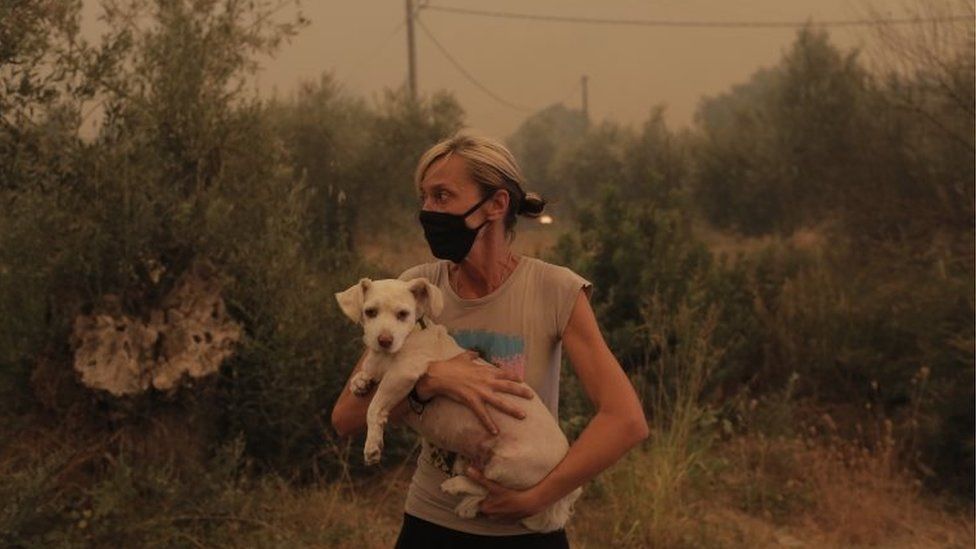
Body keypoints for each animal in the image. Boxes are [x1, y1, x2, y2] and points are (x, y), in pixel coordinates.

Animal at [336, 278, 580, 532]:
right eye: (370, 312)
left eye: (403, 314)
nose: (384, 341)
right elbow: (366, 376)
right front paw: (360, 382)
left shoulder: (403, 374)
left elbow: (374, 408)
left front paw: (372, 445)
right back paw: (467, 504)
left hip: (505, 466)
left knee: (492, 490)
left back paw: (456, 487)